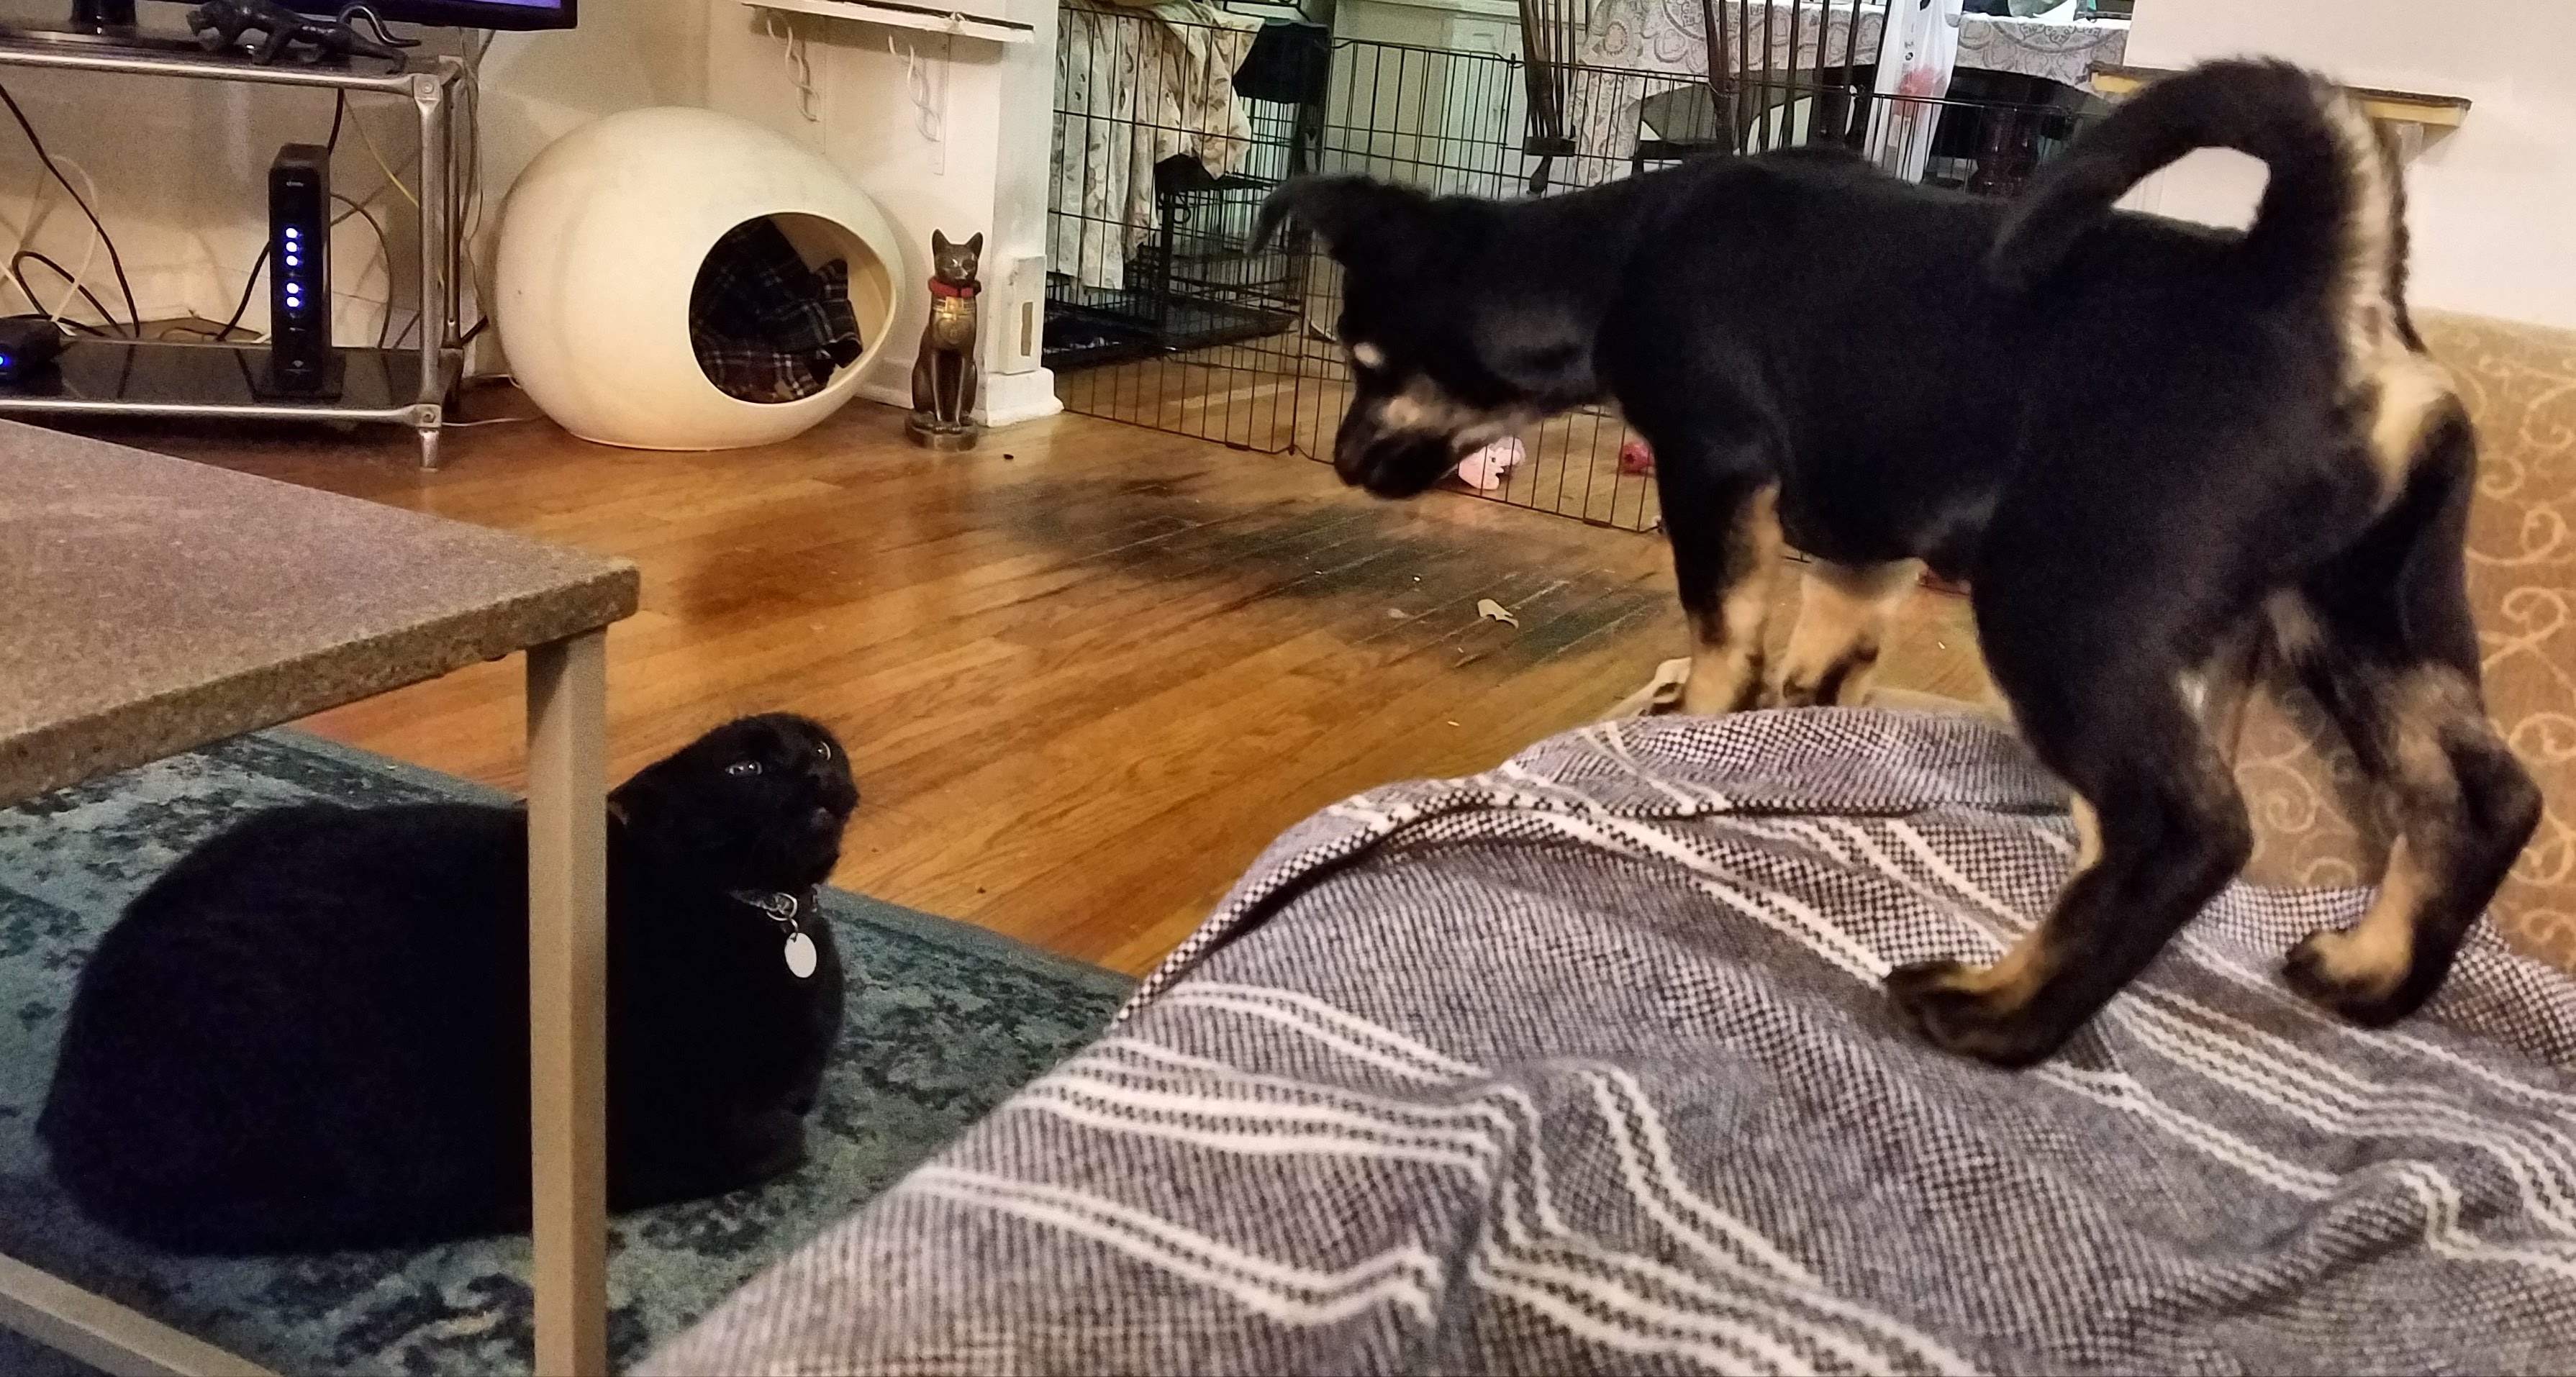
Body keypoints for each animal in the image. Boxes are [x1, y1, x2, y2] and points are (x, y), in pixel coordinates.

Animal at [38, 713, 858, 1254]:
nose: (817, 771)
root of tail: (62, 1118)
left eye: (819, 745)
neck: (772, 912)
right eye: (745, 773)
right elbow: (776, 1136)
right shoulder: (651, 1124)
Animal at [1257, 60, 2542, 1067]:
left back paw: (2000, 1016)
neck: (1616, 257)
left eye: (1369, 363)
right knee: (2479, 797)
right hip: (2368, 612)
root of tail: (2324, 284)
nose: (1341, 460)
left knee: (2187, 828)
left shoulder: (1714, 462)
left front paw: (1699, 716)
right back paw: (2372, 978)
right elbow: (1820, 662)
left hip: (2067, 605)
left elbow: (1720, 625)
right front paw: (1785, 728)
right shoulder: (1861, 545)